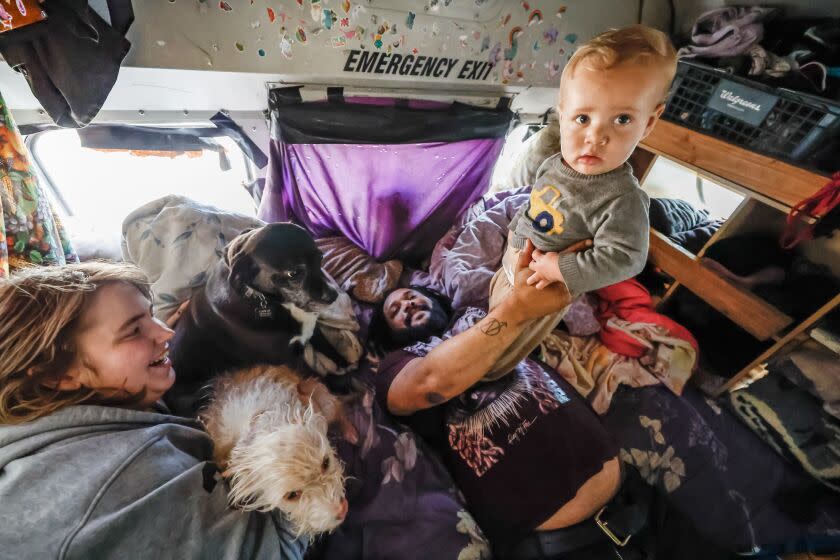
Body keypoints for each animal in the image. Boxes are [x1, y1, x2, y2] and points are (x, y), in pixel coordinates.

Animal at [201, 364, 358, 540]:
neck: (259, 418)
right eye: (292, 495)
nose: (342, 510)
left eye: (326, 463)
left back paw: (351, 432)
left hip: (322, 397)